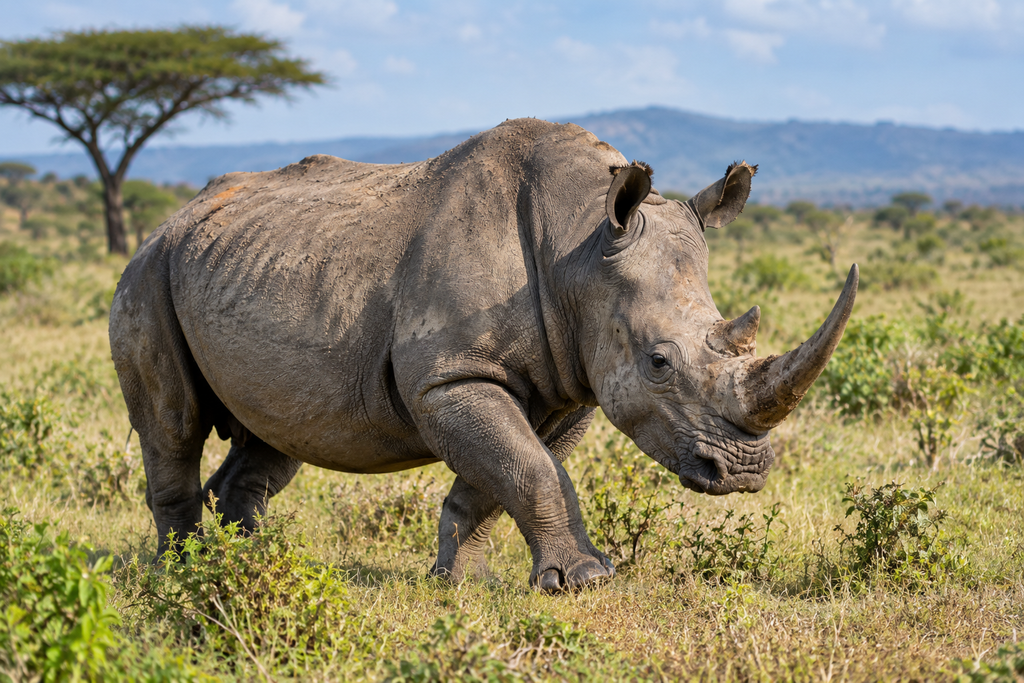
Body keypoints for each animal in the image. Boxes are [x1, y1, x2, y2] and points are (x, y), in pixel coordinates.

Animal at [109, 118, 857, 592]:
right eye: (659, 363)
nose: (744, 471)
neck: (581, 244)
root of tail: (173, 218)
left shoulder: (568, 382)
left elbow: (509, 472)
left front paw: (463, 582)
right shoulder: (452, 375)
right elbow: (528, 467)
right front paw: (588, 581)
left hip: (250, 265)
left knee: (278, 431)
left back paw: (251, 565)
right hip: (148, 271)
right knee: (173, 425)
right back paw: (184, 571)